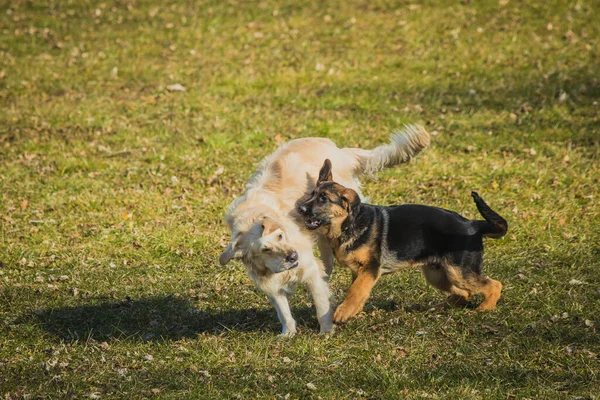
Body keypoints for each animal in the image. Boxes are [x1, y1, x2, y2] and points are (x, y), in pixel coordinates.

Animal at [218, 126, 428, 338]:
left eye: (280, 235)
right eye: (265, 249)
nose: (293, 256)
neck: (251, 217)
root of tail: (339, 151)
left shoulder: (309, 269)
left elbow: (321, 305)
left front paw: (326, 331)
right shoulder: (270, 282)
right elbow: (283, 311)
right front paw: (288, 334)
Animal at [296, 158, 506, 324]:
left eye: (323, 199)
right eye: (312, 195)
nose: (300, 209)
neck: (349, 223)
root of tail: (473, 224)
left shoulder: (370, 269)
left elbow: (355, 291)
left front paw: (343, 313)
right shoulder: (360, 272)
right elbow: (359, 291)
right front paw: (353, 311)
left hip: (459, 272)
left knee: (494, 285)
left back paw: (485, 309)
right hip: (438, 274)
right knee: (464, 293)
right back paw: (440, 307)